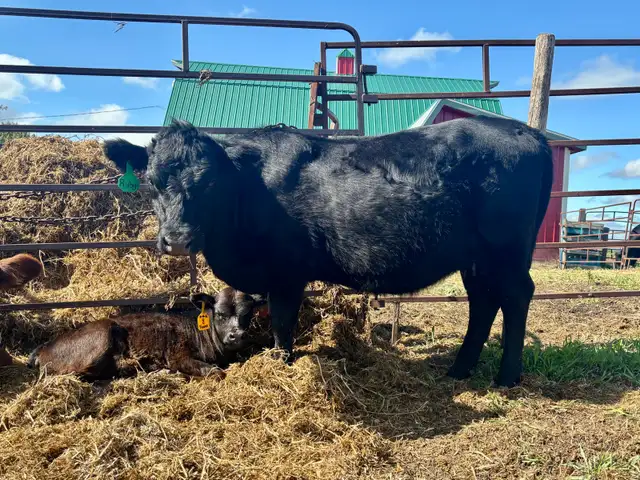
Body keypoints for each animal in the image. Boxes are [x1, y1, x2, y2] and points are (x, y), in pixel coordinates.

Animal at [26, 287, 269, 380]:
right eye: (219, 313)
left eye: (248, 314)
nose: (237, 335)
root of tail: (43, 347)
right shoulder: (178, 355)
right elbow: (216, 372)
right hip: (103, 333)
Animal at [102, 115, 553, 387]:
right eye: (153, 181)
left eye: (210, 183)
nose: (177, 238)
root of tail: (526, 131)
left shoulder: (286, 273)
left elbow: (283, 322)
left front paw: (281, 364)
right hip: (475, 257)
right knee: (483, 301)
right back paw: (459, 370)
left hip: (506, 250)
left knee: (516, 296)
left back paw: (507, 377)